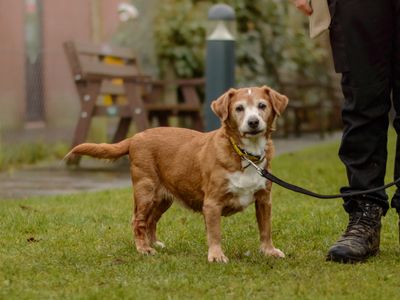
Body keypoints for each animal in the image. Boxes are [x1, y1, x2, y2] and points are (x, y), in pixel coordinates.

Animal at [65, 85, 288, 262]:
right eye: (239, 108)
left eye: (262, 106)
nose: (253, 122)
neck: (245, 154)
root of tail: (135, 137)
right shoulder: (212, 203)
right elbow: (215, 233)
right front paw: (216, 256)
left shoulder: (264, 200)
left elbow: (266, 229)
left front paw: (268, 251)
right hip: (145, 190)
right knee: (138, 221)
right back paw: (143, 248)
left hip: (163, 198)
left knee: (151, 220)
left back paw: (154, 243)